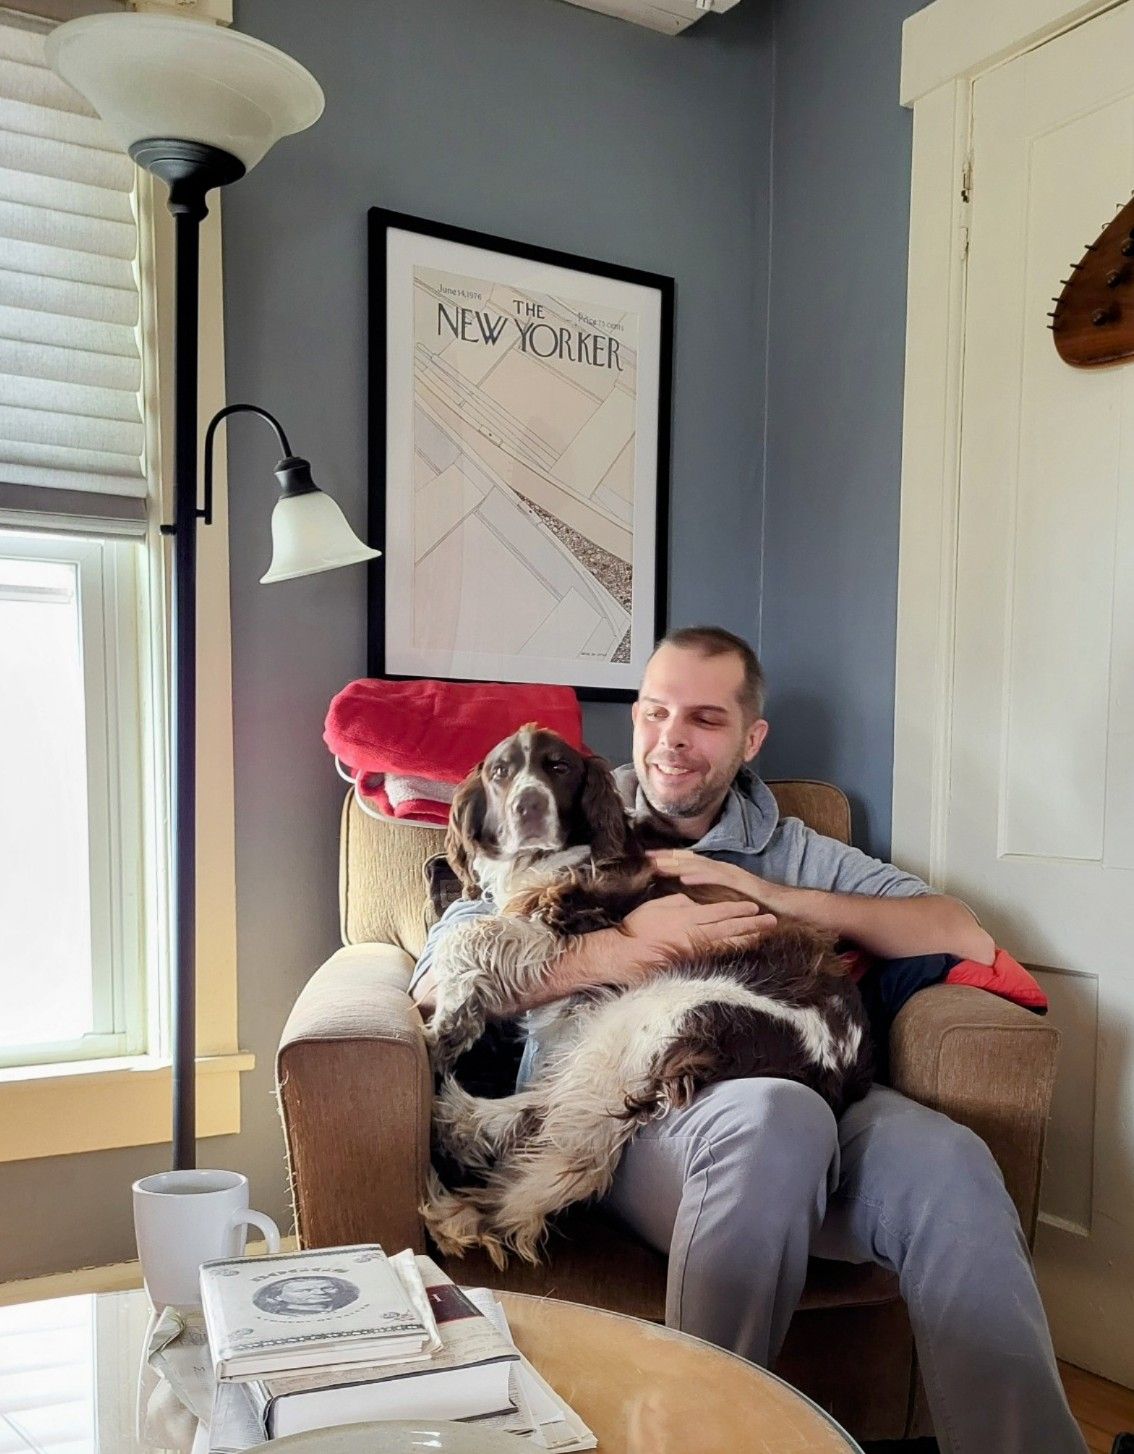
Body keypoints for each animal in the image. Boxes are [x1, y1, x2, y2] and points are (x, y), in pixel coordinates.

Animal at [421, 724, 872, 1262]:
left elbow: (469, 935)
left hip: (662, 1012)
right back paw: (459, 1121)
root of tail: (841, 1068)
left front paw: (448, 1020)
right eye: (499, 772)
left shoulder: (571, 911)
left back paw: (463, 1211)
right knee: (551, 1108)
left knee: (569, 1152)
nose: (527, 806)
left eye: (559, 767)